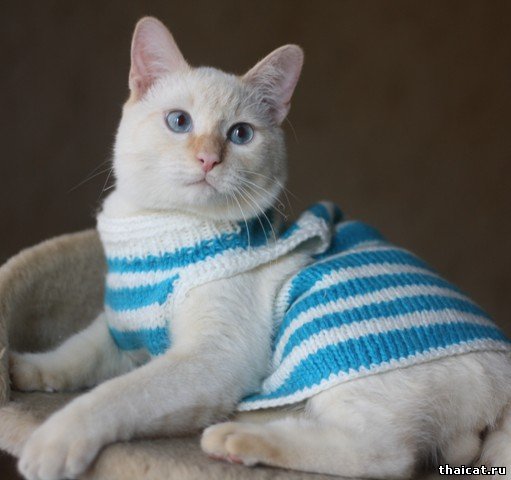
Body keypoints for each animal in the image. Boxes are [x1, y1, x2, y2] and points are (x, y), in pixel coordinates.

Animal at [9, 16, 511, 480]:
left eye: (240, 135)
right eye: (179, 122)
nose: (208, 159)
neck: (162, 231)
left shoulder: (211, 359)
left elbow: (116, 394)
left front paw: (52, 440)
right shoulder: (119, 331)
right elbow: (73, 355)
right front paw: (19, 370)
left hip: (325, 328)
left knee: (386, 455)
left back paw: (237, 435)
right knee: (447, 451)